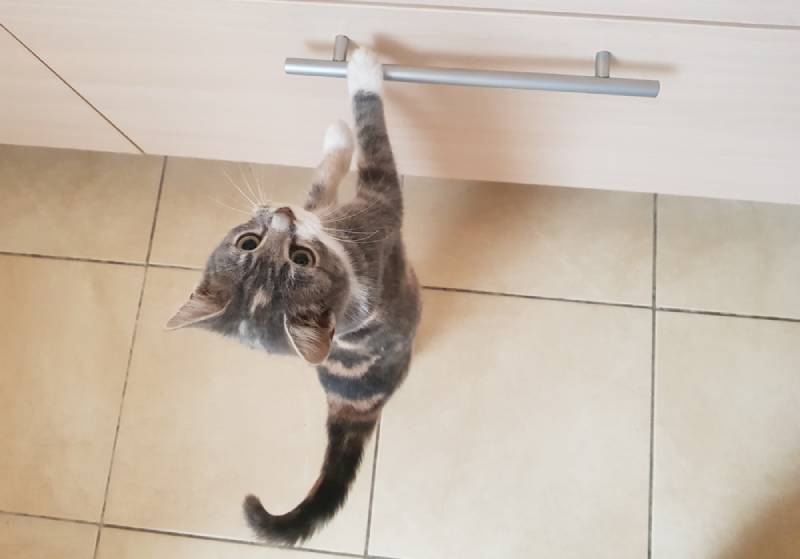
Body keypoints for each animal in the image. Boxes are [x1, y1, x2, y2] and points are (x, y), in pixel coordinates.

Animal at [166, 49, 422, 548]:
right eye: (249, 243)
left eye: (300, 256)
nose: (281, 215)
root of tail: (351, 406)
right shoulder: (379, 204)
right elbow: (371, 133)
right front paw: (361, 70)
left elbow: (321, 183)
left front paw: (334, 137)